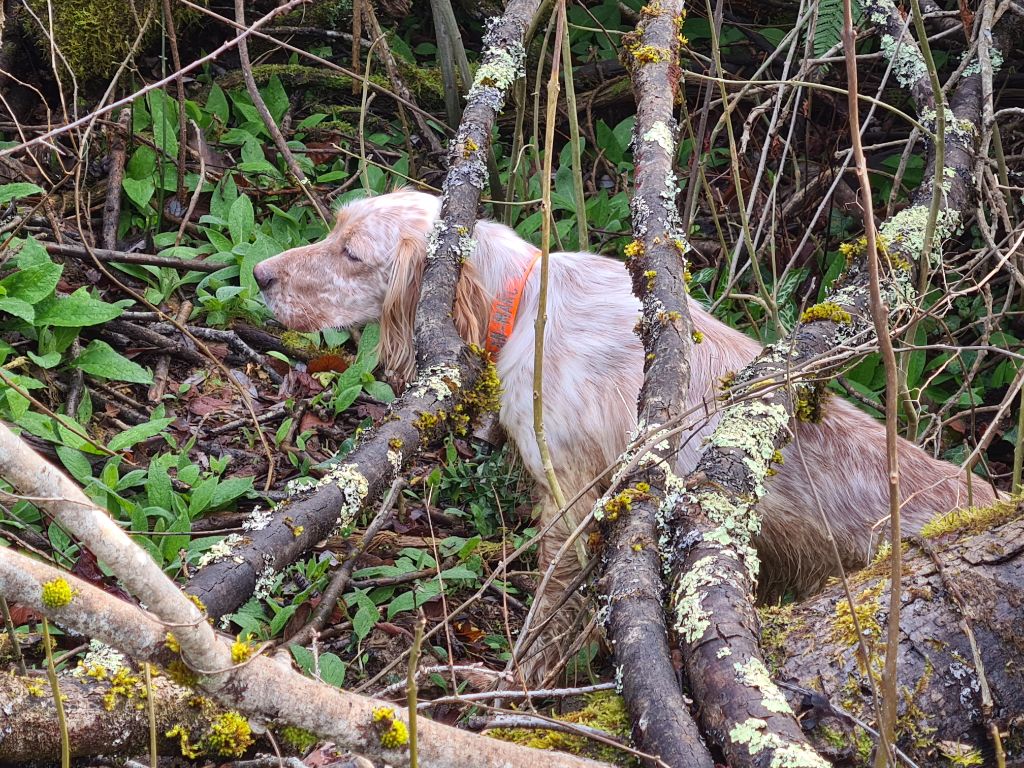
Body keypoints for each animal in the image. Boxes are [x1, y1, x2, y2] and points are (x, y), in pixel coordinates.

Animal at [253, 191, 991, 671]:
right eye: (333, 228)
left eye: (351, 253)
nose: (259, 275)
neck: (523, 306)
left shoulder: (571, 506)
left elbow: (547, 618)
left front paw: (516, 681)